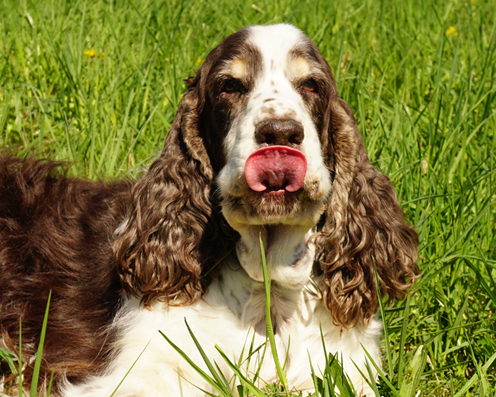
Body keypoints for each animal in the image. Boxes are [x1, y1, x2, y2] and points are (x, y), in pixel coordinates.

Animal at [0, 24, 418, 396]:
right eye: (229, 86)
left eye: (312, 85)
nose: (280, 133)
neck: (268, 289)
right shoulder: (137, 371)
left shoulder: (345, 367)